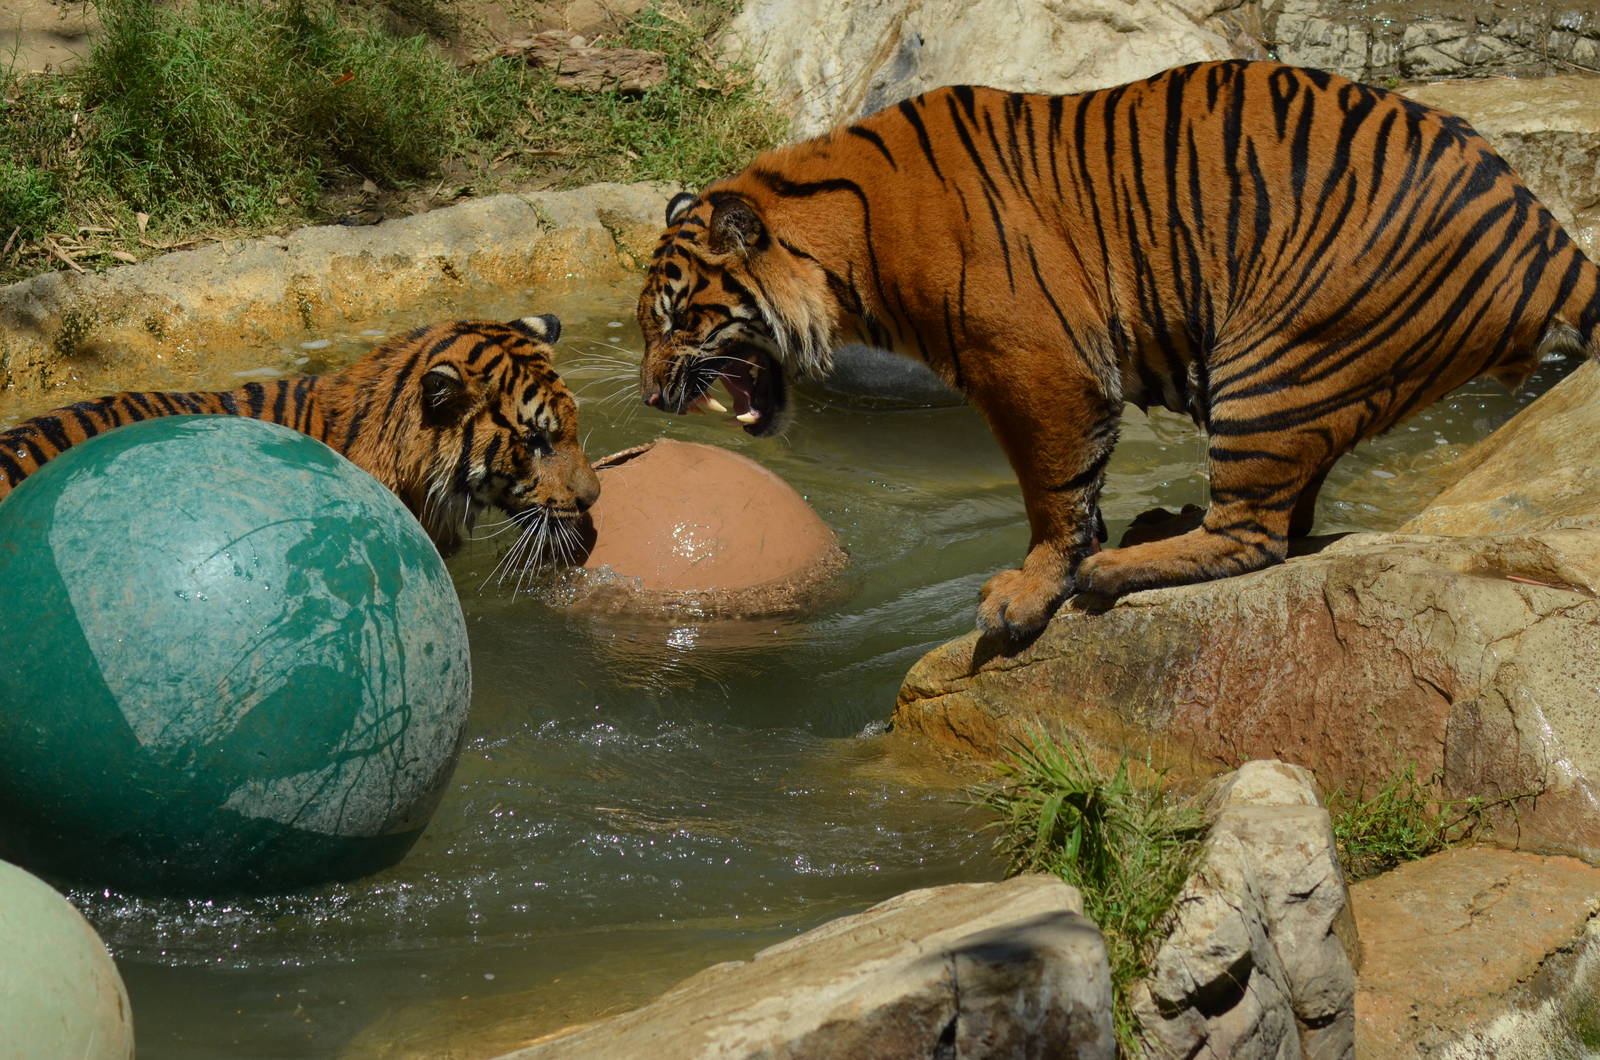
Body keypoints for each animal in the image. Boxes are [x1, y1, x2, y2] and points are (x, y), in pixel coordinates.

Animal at [636, 59, 1600, 639]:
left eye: (679, 320)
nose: (648, 398)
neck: (844, 247)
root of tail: (1540, 225)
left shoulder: (1037, 367)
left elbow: (1053, 493)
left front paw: (1027, 591)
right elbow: (1075, 490)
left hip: (1276, 357)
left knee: (1257, 535)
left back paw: (1120, 565)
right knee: (1288, 513)